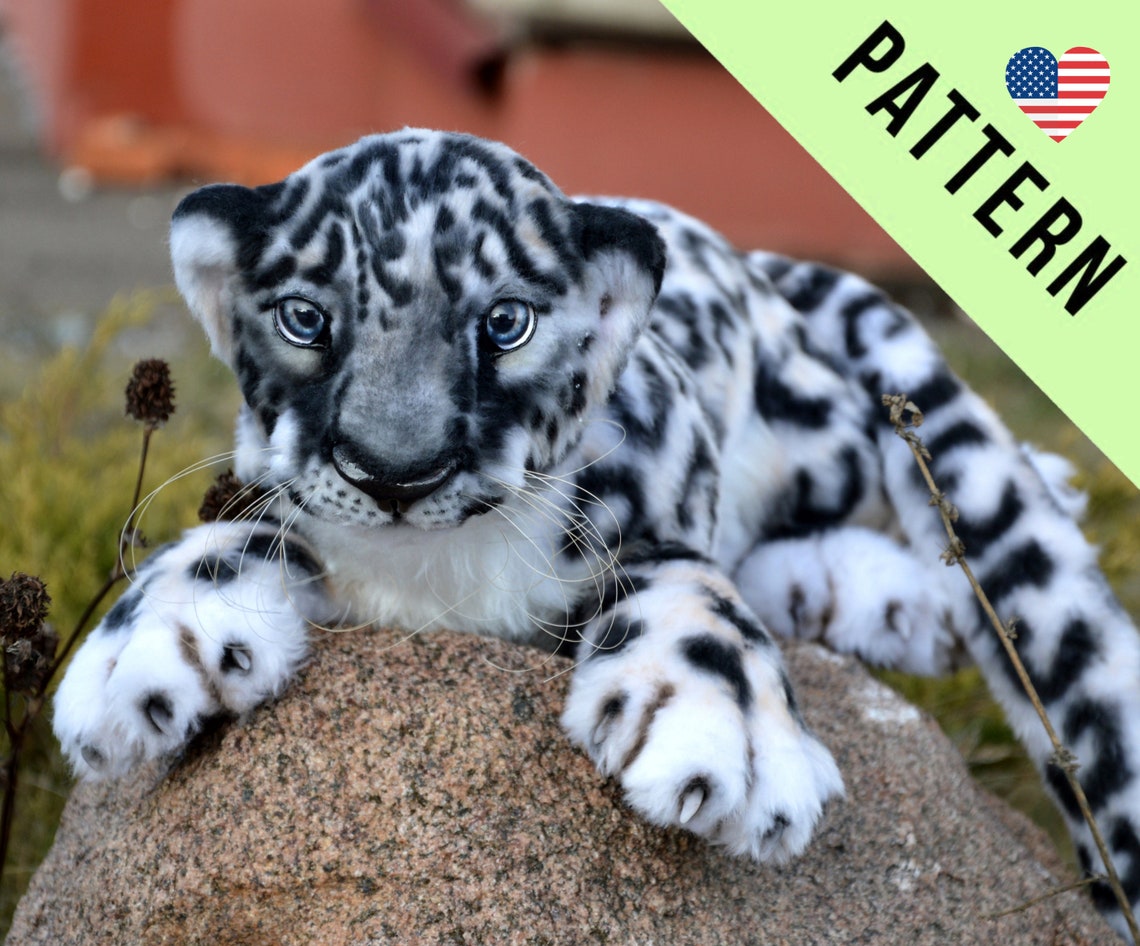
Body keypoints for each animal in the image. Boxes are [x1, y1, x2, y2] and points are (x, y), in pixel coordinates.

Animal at [51, 128, 1140, 937]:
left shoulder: (660, 495)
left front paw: (727, 738)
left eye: (507, 322)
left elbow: (691, 585)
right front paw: (142, 655)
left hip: (819, 432)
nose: (397, 469)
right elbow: (248, 527)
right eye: (305, 318)